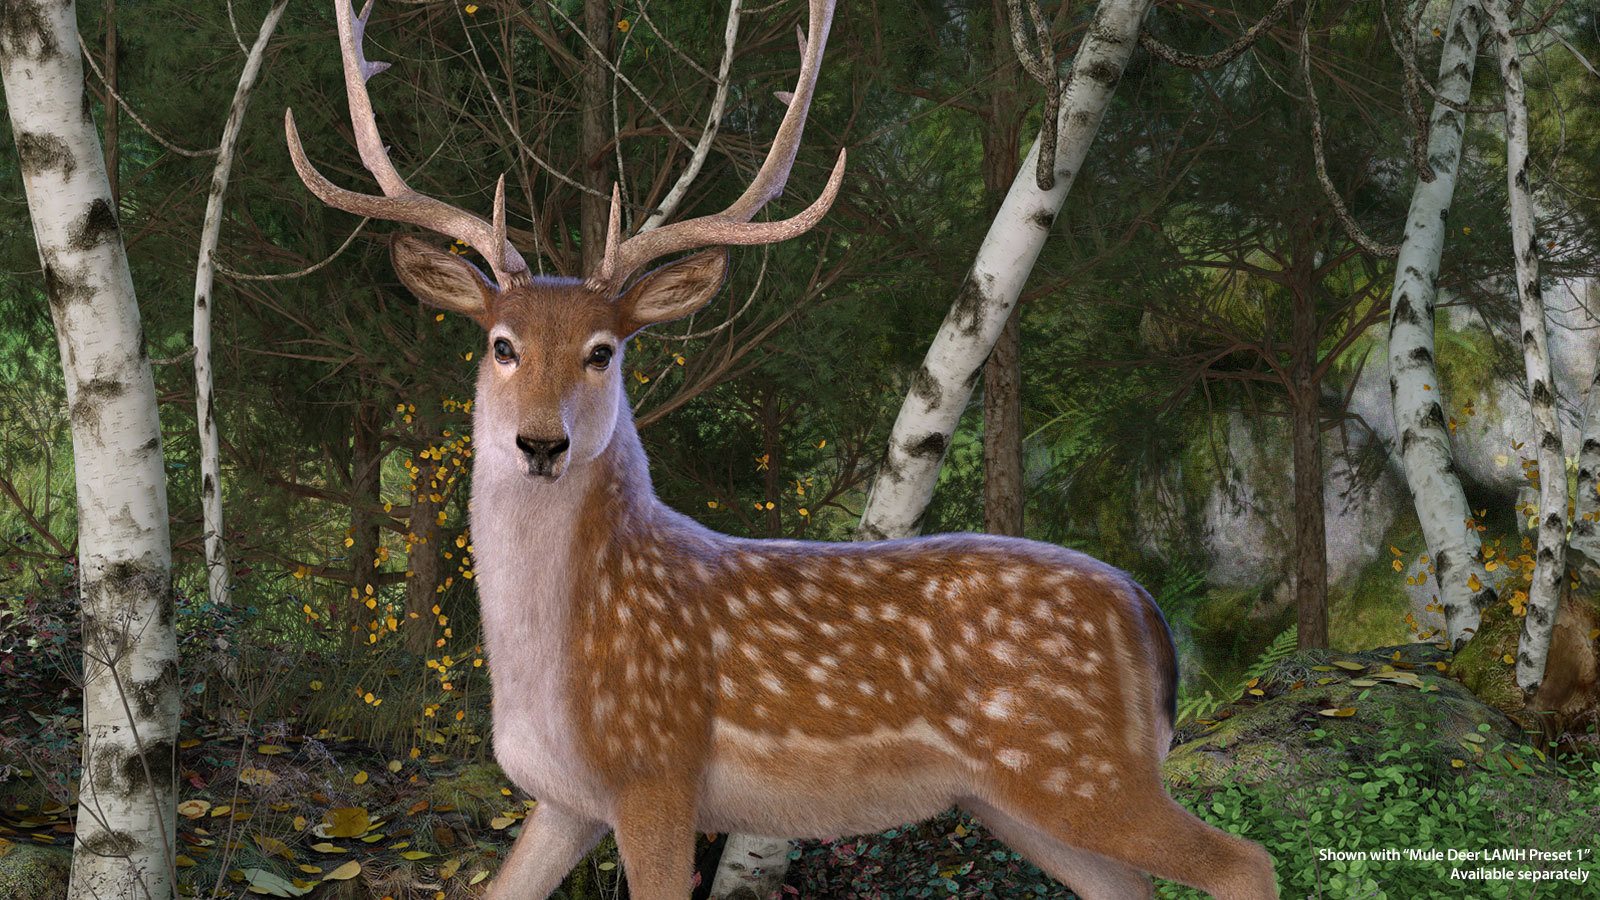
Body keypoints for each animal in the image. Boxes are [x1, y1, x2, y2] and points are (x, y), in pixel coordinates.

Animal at [284, 2, 1279, 898]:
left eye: (604, 351)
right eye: (500, 344)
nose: (540, 441)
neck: (555, 668)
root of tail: (1150, 616)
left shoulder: (657, 771)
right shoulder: (564, 800)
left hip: (1077, 766)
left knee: (1247, 861)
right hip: (1020, 799)